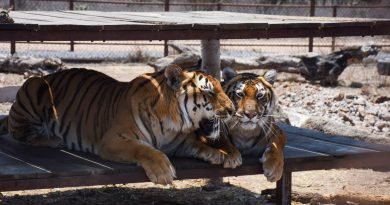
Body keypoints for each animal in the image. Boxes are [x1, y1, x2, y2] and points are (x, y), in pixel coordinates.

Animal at [0, 65, 241, 185]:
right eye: (209, 92)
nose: (232, 109)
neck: (173, 122)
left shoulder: (179, 143)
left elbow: (200, 144)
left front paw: (225, 154)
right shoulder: (114, 139)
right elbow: (145, 150)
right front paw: (163, 171)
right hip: (35, 87)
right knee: (18, 131)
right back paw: (52, 139)